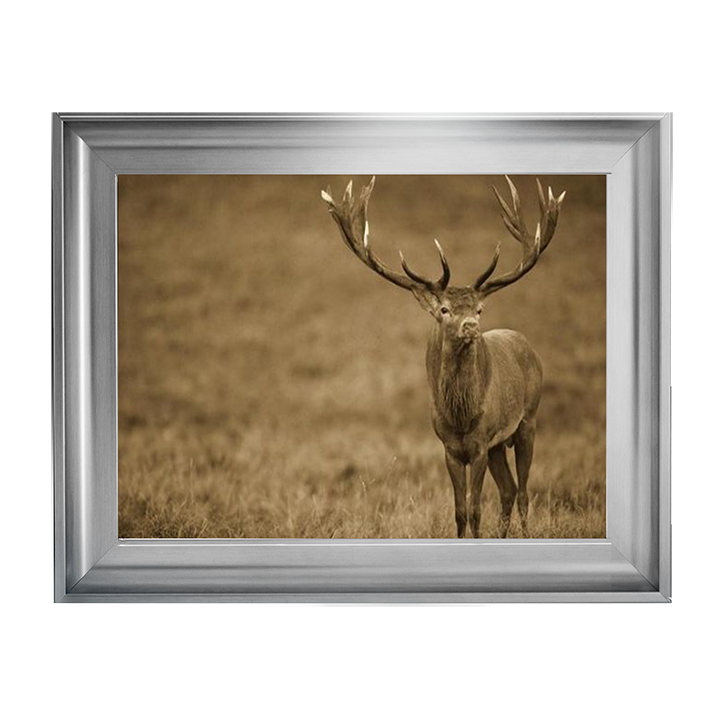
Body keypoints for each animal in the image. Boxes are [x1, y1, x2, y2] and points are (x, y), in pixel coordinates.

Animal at [321, 176, 565, 538]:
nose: (471, 326)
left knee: (523, 492)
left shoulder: (479, 444)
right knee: (508, 490)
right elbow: (460, 510)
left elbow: (476, 509)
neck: (460, 417)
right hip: (499, 445)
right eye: (444, 309)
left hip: (528, 419)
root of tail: (528, 346)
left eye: (479, 309)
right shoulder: (450, 448)